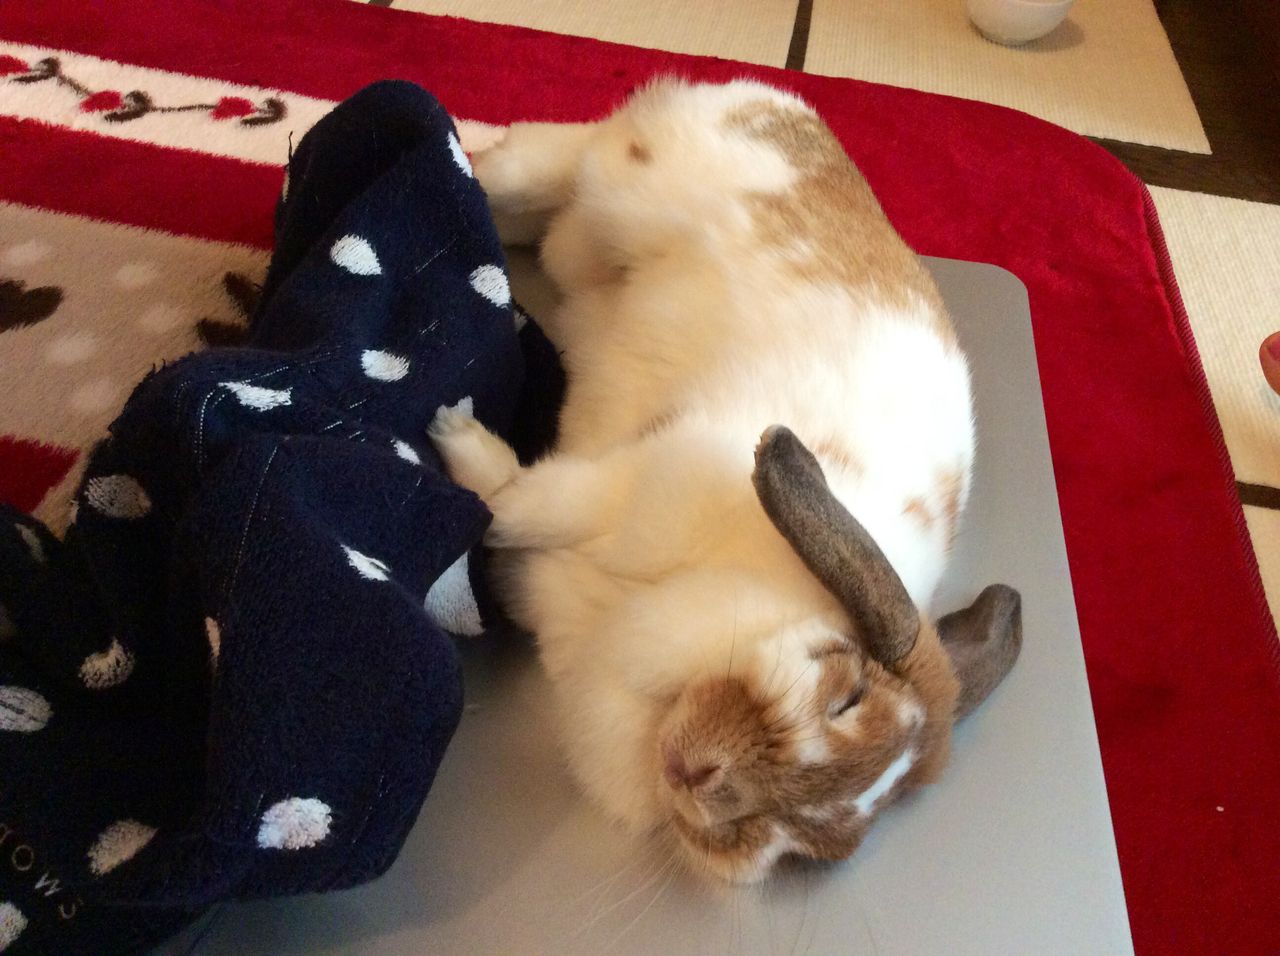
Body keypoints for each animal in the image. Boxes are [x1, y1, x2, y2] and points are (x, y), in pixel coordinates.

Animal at [430, 78, 1022, 883]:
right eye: (845, 695)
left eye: (805, 851)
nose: (708, 788)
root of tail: (786, 109)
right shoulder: (630, 491)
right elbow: (521, 501)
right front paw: (452, 434)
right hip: (627, 187)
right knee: (548, 155)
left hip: (582, 239)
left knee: (548, 211)